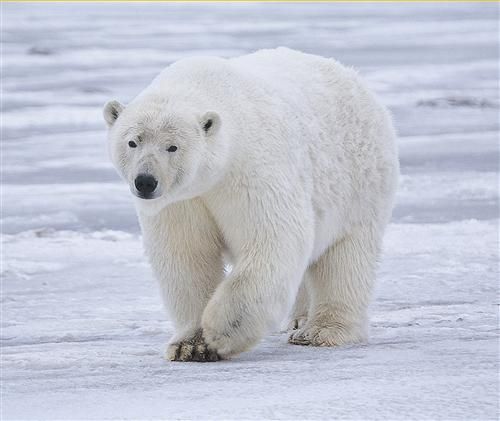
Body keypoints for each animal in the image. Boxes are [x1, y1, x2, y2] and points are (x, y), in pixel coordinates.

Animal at [102, 46, 398, 360]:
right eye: (132, 142)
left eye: (173, 147)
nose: (145, 181)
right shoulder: (182, 202)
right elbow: (187, 256)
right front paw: (190, 345)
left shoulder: (250, 169)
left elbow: (273, 239)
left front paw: (220, 332)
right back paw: (299, 319)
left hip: (359, 183)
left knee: (345, 258)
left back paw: (321, 331)